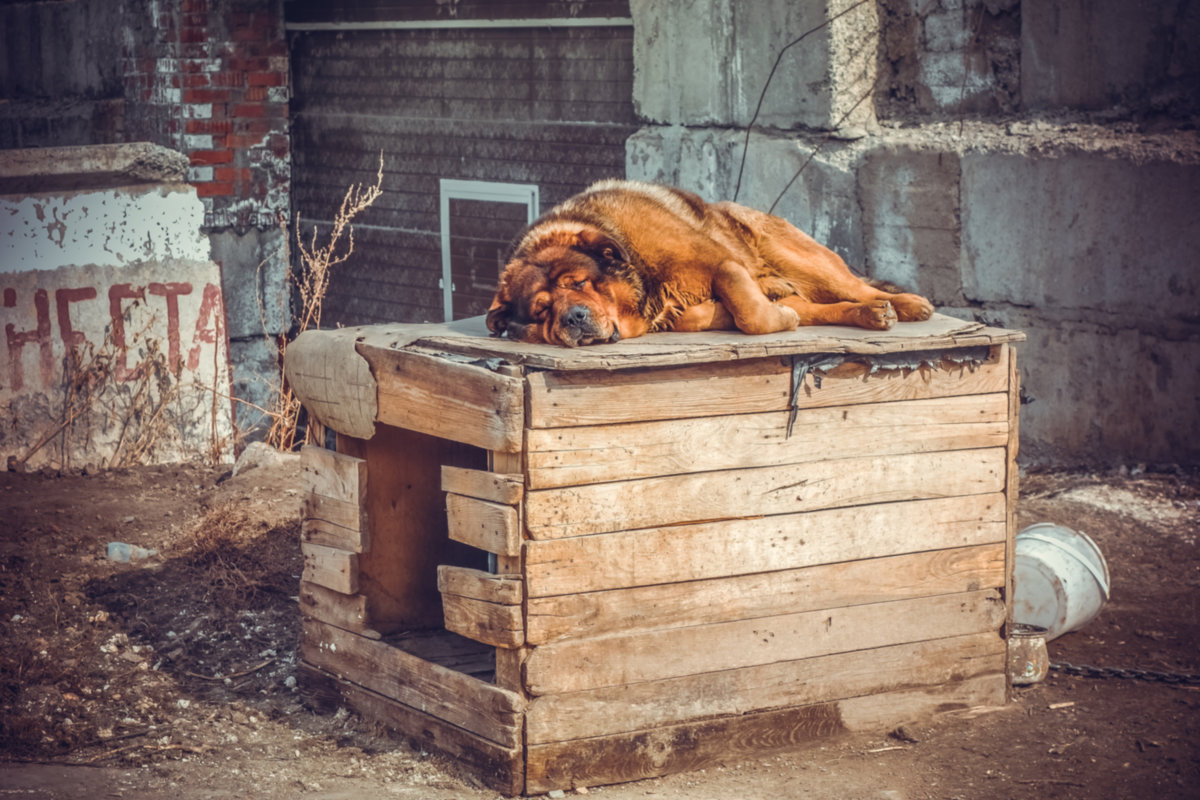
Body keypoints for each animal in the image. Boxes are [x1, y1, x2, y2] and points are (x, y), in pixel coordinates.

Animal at [482, 181, 931, 347]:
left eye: (579, 284)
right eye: (541, 310)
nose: (573, 317)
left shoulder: (720, 262)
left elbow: (752, 316)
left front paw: (765, 318)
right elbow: (715, 314)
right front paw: (722, 314)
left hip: (800, 260)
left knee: (856, 286)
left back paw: (905, 305)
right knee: (824, 307)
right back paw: (868, 315)